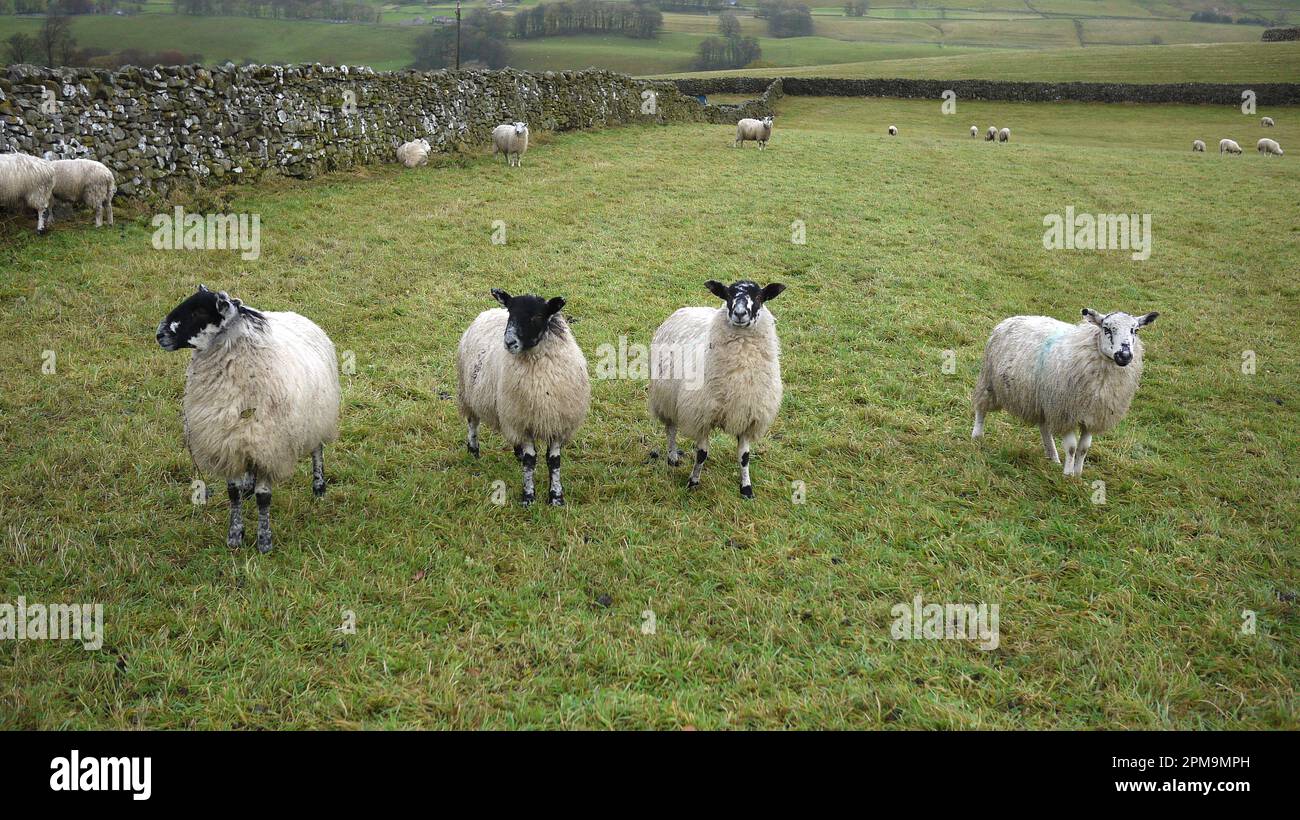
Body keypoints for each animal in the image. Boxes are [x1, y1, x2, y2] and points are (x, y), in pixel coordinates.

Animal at [153, 285, 340, 556]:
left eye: (199, 311)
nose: (159, 334)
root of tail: (298, 315)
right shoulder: (228, 443)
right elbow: (233, 493)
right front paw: (234, 536)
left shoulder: (269, 445)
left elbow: (264, 497)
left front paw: (264, 542)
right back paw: (249, 486)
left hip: (318, 417)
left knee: (317, 451)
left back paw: (319, 488)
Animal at [457, 288, 590, 506]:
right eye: (511, 313)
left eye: (537, 316)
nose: (509, 342)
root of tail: (489, 311)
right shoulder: (523, 422)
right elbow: (530, 460)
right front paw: (528, 497)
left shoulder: (557, 422)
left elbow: (554, 461)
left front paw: (556, 497)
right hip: (468, 394)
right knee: (472, 422)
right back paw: (473, 450)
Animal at [647, 279, 780, 496]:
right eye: (728, 295)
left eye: (759, 296)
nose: (740, 313)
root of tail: (688, 308)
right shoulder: (702, 415)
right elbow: (701, 454)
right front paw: (693, 482)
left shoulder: (748, 416)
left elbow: (744, 457)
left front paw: (746, 488)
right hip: (666, 396)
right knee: (671, 429)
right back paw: (672, 457)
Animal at [972, 309, 1164, 480]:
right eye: (1106, 328)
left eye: (1135, 330)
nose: (1124, 355)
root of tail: (1011, 319)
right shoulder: (1066, 412)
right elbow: (1072, 447)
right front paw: (1067, 475)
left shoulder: (1092, 416)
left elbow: (1084, 448)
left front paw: (1077, 475)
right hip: (989, 381)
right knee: (981, 408)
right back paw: (977, 436)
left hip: (1043, 399)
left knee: (1044, 426)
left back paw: (1053, 456)